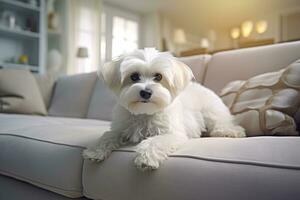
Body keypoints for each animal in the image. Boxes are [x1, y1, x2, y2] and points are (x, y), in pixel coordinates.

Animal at [82, 48, 246, 170]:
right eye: (134, 76)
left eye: (158, 77)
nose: (146, 92)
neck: (144, 112)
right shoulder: (120, 127)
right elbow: (108, 135)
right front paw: (95, 150)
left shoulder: (173, 133)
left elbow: (156, 140)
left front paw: (146, 158)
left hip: (211, 112)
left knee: (221, 123)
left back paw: (230, 131)